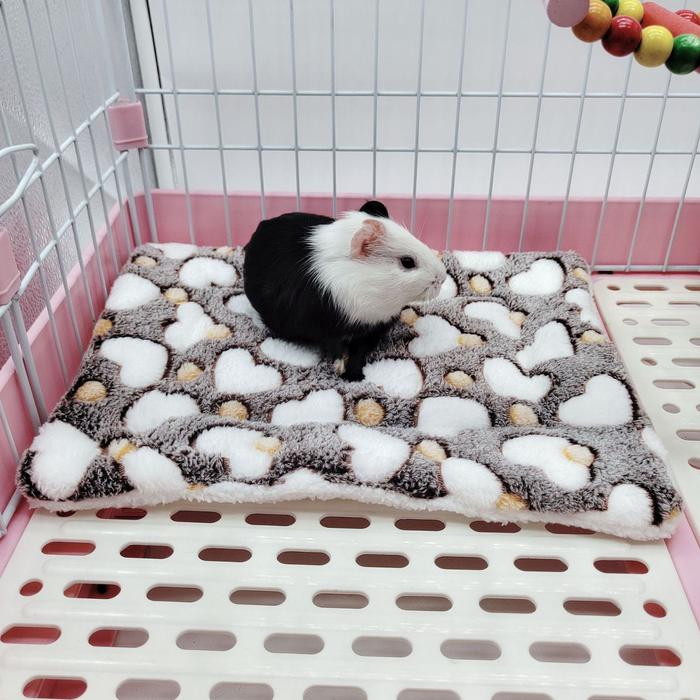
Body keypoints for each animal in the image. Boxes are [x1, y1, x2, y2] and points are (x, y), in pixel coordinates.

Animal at [243, 200, 447, 380]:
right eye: (407, 262)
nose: (443, 277)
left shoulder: (373, 329)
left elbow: (359, 353)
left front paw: (354, 377)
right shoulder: (326, 327)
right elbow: (334, 346)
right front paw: (340, 369)